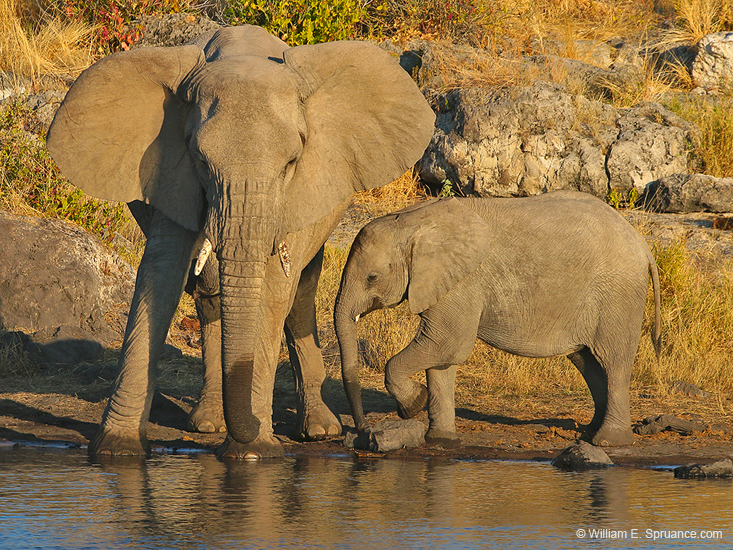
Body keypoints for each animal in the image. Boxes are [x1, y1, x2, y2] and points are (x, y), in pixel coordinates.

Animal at [46, 25, 435, 458]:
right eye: (200, 160)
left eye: (291, 163)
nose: (366, 437)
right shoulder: (171, 173)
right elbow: (159, 276)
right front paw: (117, 451)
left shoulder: (299, 189)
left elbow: (275, 289)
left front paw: (254, 453)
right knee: (209, 293)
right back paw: (209, 424)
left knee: (300, 293)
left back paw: (318, 431)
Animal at [334, 191, 661, 448]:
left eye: (372, 277)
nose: (363, 435)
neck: (414, 221)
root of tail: (642, 244)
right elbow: (442, 358)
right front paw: (441, 441)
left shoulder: (463, 282)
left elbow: (446, 343)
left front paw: (413, 404)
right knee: (587, 361)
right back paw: (589, 434)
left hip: (617, 294)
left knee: (613, 361)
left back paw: (609, 441)